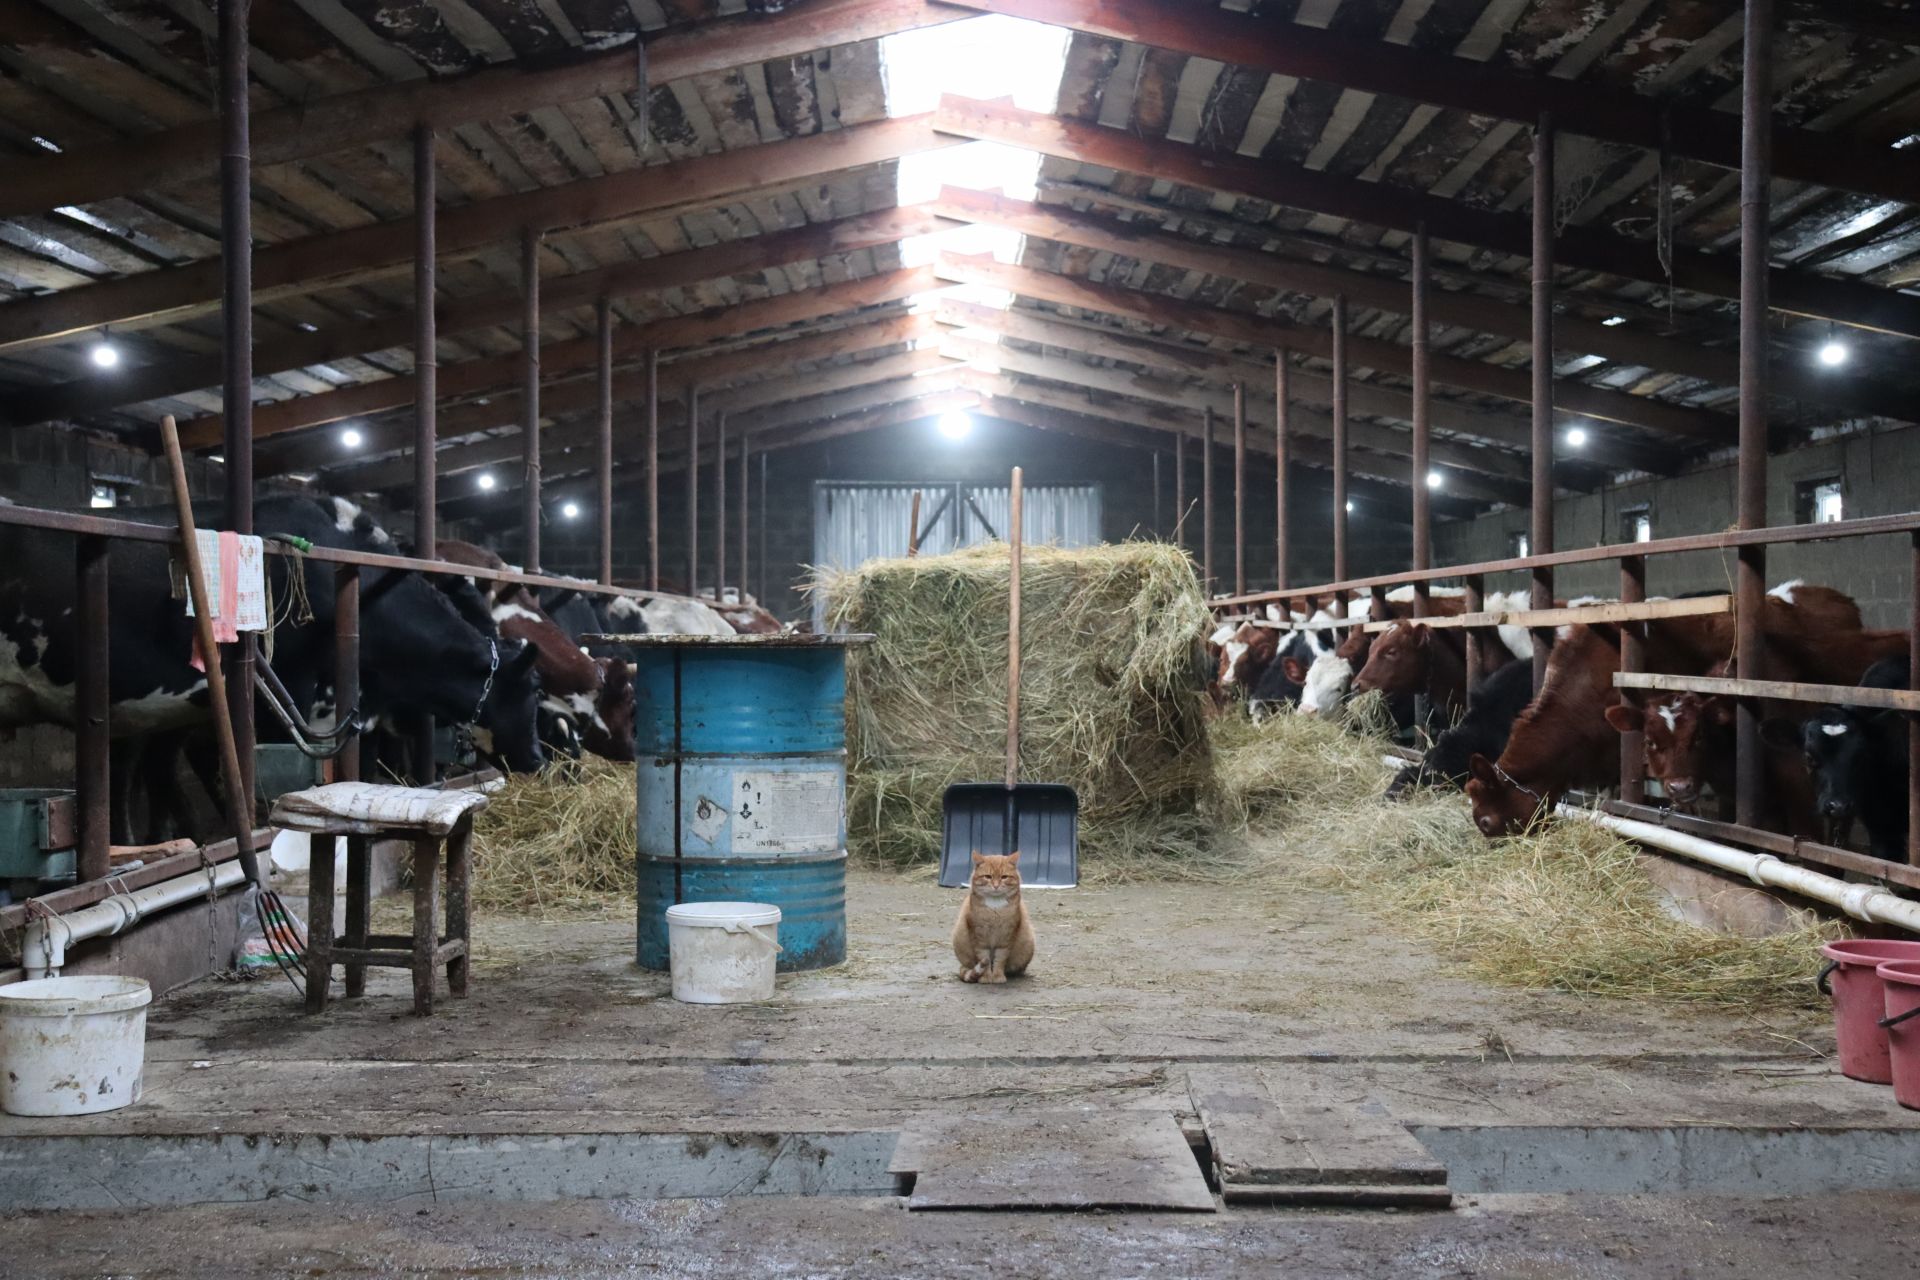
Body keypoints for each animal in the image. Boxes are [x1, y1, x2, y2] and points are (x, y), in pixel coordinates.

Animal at [948, 855, 1036, 990]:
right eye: (987, 876)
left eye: (1004, 877)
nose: (996, 886)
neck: (995, 906)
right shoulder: (979, 937)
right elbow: (984, 958)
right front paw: (986, 977)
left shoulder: (1006, 937)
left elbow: (1000, 959)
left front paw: (998, 976)